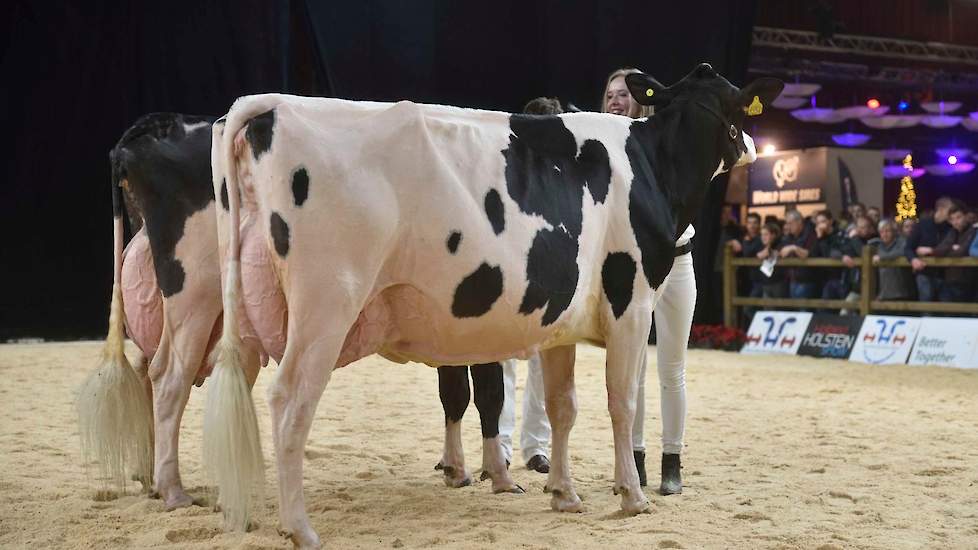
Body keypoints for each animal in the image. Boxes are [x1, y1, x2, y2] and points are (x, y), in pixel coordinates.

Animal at [206, 64, 776, 548]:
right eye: (739, 108)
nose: (753, 145)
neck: (653, 166)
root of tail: (272, 106)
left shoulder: (562, 324)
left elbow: (563, 407)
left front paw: (564, 494)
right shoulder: (630, 303)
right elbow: (622, 403)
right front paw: (632, 495)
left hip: (246, 304)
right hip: (326, 303)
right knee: (290, 401)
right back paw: (300, 528)